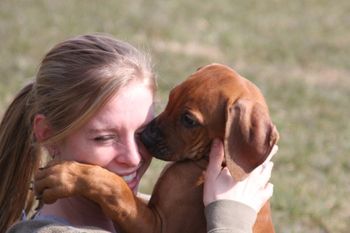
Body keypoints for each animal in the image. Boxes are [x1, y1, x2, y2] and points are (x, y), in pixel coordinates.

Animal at [34, 62, 278, 232]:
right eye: (171, 97)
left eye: (189, 120)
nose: (145, 137)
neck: (212, 161)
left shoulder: (160, 226)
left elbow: (115, 187)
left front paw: (68, 175)